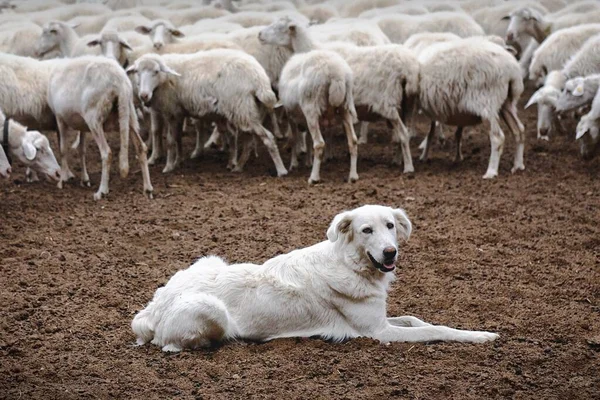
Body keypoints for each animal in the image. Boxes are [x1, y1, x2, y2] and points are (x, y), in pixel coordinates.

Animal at [47, 56, 154, 200]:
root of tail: (120, 81)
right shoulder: (81, 124)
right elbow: (81, 150)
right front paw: (84, 179)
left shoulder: (60, 118)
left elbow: (63, 149)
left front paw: (62, 180)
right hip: (127, 113)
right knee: (141, 147)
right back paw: (148, 189)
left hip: (95, 117)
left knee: (106, 152)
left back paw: (102, 191)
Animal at [126, 49, 288, 176]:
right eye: (137, 72)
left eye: (156, 71)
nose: (144, 95)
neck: (164, 81)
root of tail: (259, 78)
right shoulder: (178, 112)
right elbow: (178, 138)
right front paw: (178, 161)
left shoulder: (171, 112)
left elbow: (171, 141)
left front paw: (168, 167)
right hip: (246, 111)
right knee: (248, 140)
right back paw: (238, 166)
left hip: (242, 108)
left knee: (267, 137)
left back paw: (281, 170)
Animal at [134, 205, 500, 352]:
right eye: (366, 230)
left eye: (390, 226)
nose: (390, 253)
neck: (352, 265)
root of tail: (151, 309)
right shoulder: (379, 332)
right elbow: (434, 330)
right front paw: (481, 336)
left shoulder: (382, 319)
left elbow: (416, 318)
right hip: (211, 310)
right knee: (172, 343)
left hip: (210, 259)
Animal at [256, 16, 356, 184]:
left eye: (279, 28)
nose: (259, 34)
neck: (304, 49)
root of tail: (336, 75)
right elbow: (307, 137)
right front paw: (307, 161)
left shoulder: (290, 111)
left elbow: (294, 138)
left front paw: (294, 164)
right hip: (345, 107)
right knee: (353, 141)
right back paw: (353, 176)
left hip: (311, 107)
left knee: (320, 144)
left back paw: (314, 177)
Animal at [418, 37, 524, 178]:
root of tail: (512, 70)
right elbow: (432, 132)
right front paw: (425, 156)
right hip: (507, 104)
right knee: (519, 130)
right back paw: (518, 165)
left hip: (486, 103)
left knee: (498, 137)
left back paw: (491, 172)